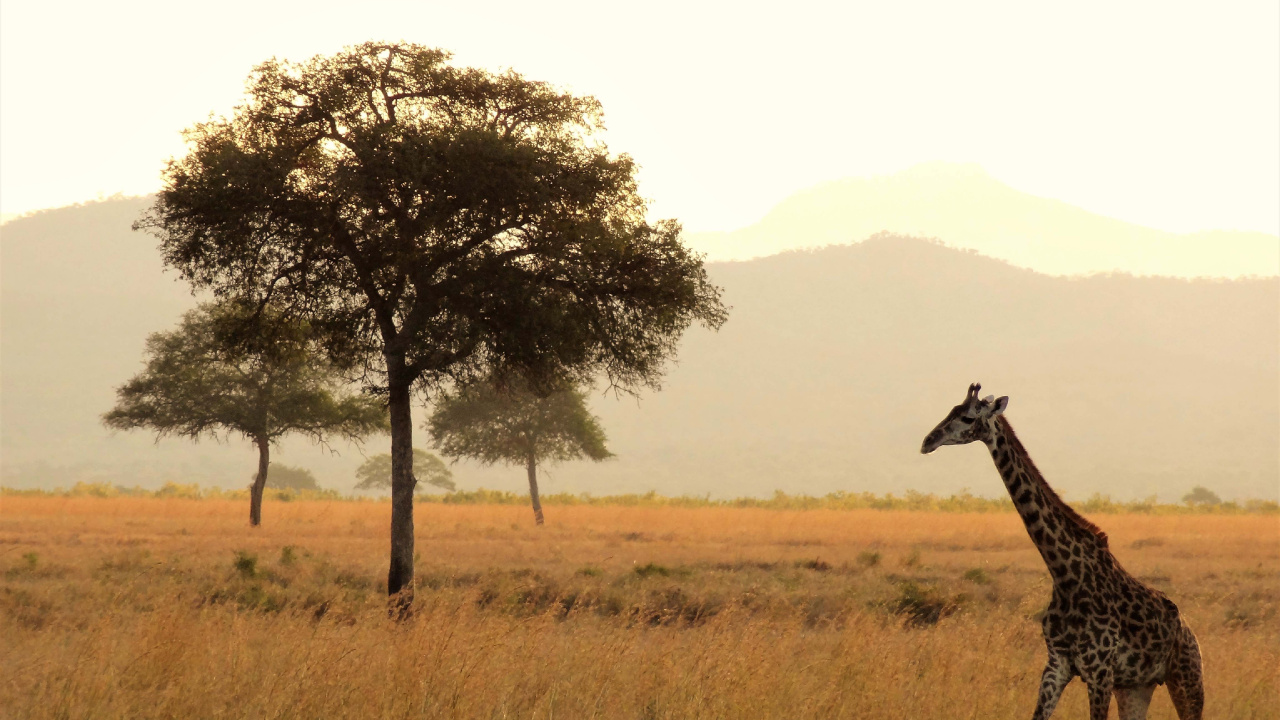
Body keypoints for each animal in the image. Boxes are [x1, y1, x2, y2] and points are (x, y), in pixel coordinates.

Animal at [921, 383, 1204, 720]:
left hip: (1187, 678)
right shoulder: (1057, 665)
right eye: (950, 410)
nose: (927, 442)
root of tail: (1188, 629)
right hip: (1136, 686)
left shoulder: (1099, 671)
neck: (1065, 575)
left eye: (967, 417)